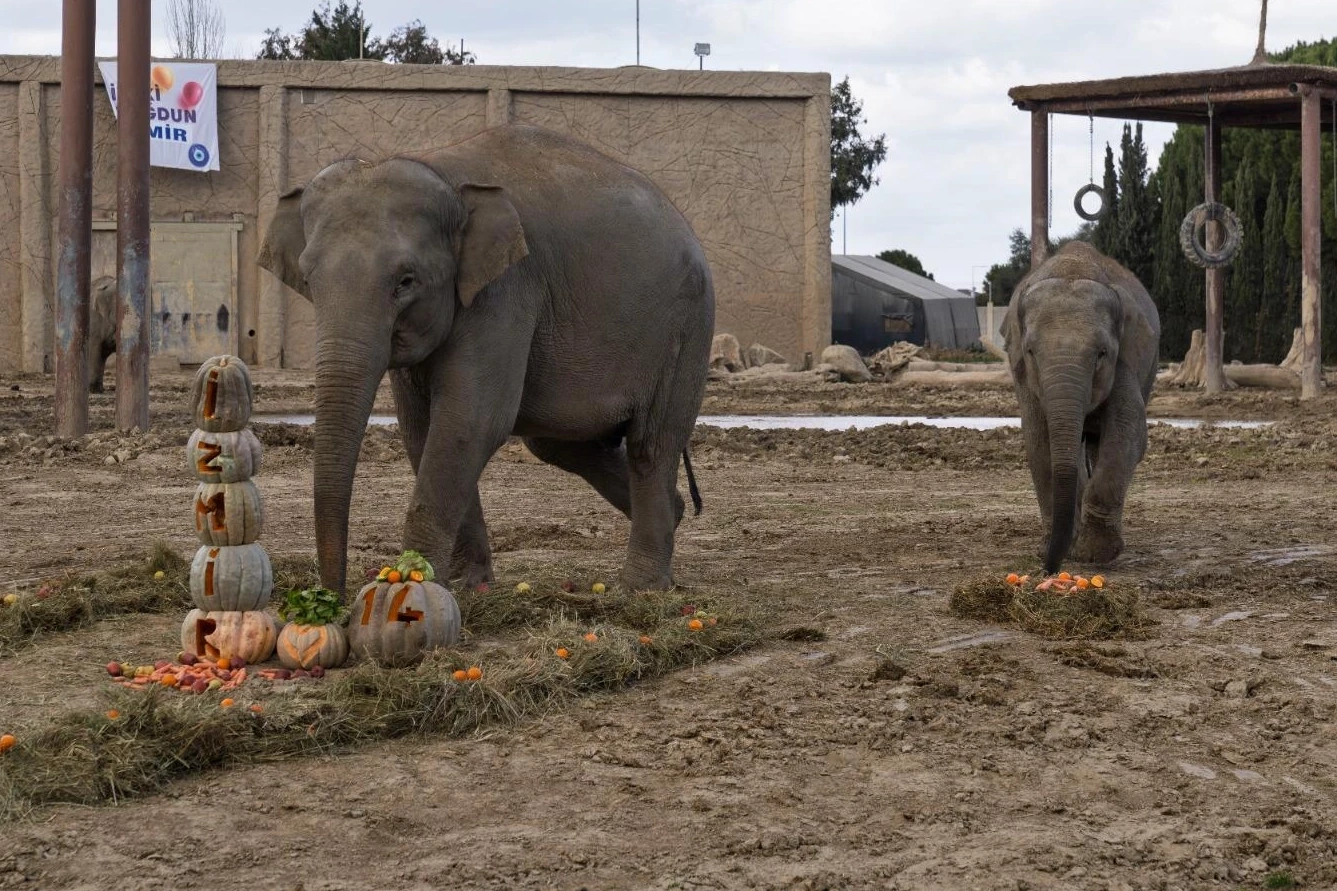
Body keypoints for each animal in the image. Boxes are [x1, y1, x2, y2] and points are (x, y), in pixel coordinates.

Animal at [263, 123, 721, 588]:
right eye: (307, 279)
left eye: (406, 281)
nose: (332, 597)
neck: (441, 171)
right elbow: (422, 429)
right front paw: (468, 585)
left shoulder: (507, 289)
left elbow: (469, 421)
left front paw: (419, 583)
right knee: (560, 444)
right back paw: (676, 513)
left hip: (687, 327)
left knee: (652, 444)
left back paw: (640, 587)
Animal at [1005, 239, 1160, 572]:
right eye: (1031, 351)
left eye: (1102, 353)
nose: (1048, 569)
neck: (1072, 269)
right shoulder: (1023, 375)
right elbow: (1037, 440)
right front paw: (1056, 547)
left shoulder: (1125, 358)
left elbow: (1129, 432)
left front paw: (1093, 554)